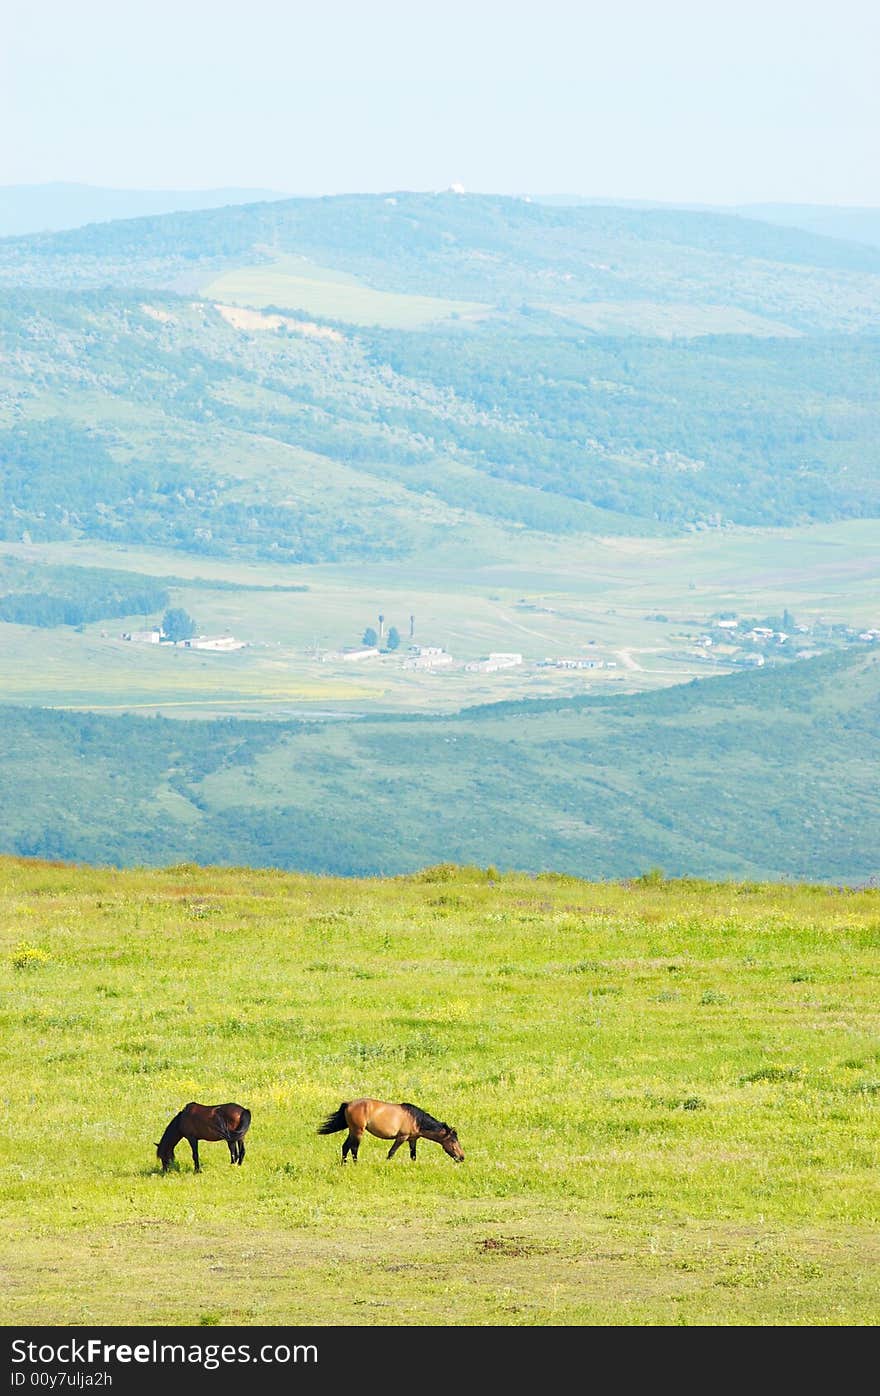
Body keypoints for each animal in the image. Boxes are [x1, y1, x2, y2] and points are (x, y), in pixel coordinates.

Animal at [318, 1094, 469, 1161]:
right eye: (453, 1141)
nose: (462, 1157)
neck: (416, 1120)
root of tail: (348, 1104)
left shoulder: (412, 1139)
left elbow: (413, 1155)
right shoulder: (401, 1137)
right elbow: (391, 1152)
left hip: (352, 1130)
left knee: (345, 1147)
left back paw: (343, 1164)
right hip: (358, 1131)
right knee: (354, 1148)